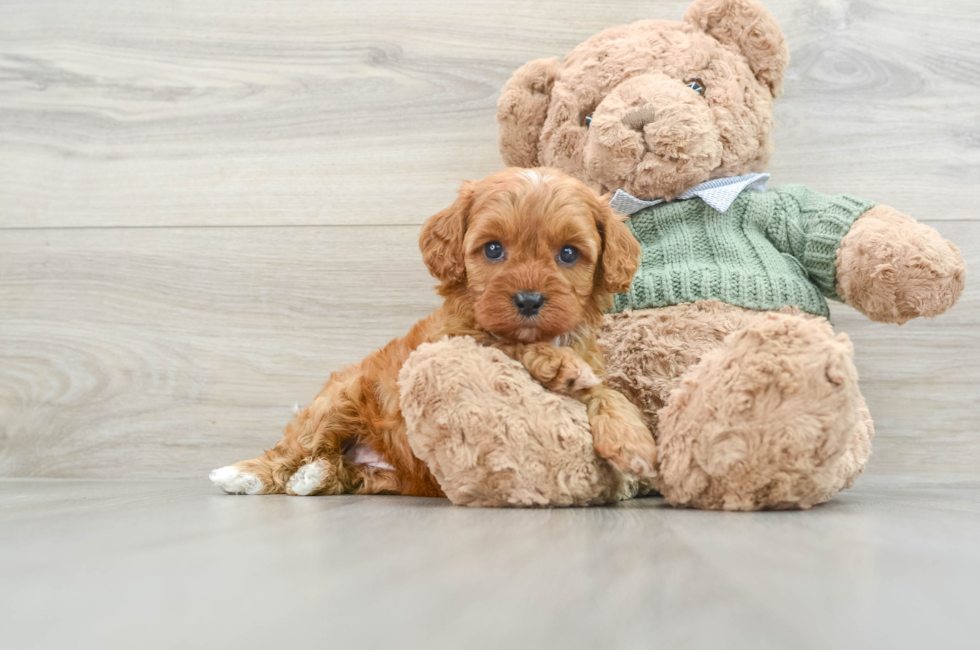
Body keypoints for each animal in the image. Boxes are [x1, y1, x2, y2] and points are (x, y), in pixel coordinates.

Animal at [210, 168, 656, 496]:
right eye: (493, 249)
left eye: (568, 253)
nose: (529, 300)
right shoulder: (448, 345)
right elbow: (503, 343)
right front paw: (555, 363)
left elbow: (606, 391)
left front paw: (633, 442)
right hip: (339, 399)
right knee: (295, 445)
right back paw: (248, 475)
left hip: (391, 474)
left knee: (345, 473)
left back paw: (315, 476)